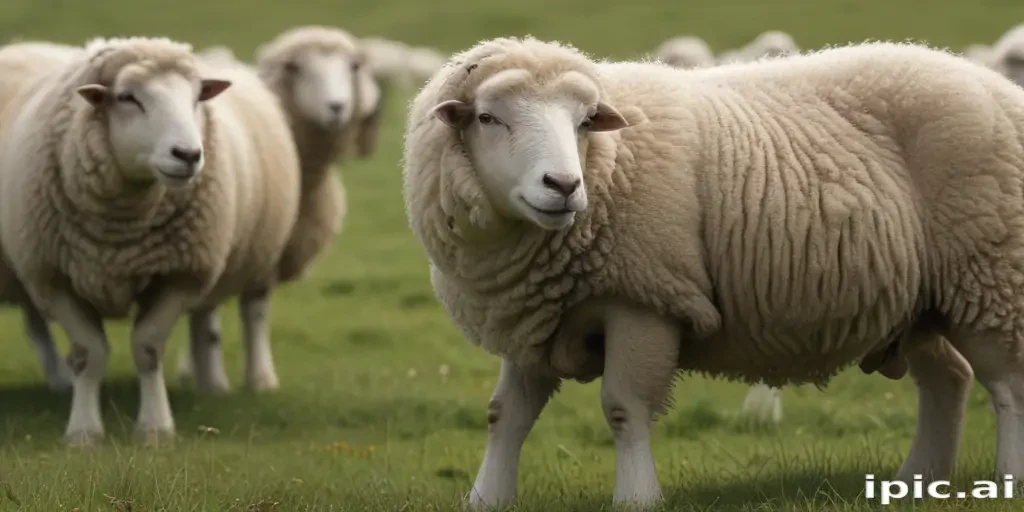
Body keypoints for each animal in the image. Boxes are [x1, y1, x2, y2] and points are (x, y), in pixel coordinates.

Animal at [0, 35, 301, 445]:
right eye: (128, 97)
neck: (119, 237)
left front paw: (156, 428)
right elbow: (87, 354)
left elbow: (148, 349)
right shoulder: (53, 278)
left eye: (197, 97)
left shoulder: (181, 275)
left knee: (248, 313)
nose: (188, 154)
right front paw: (83, 431)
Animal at [175, 25, 381, 393]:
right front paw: (239, 379)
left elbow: (255, 310)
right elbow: (223, 312)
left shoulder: (268, 244)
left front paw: (260, 379)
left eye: (353, 66)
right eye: (295, 67)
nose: (337, 107)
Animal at [402, 35, 1024, 508]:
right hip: (919, 300)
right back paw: (916, 480)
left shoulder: (645, 302)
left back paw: (1009, 479)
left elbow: (624, 409)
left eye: (584, 122)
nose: (563, 185)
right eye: (489, 118)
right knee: (948, 378)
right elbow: (503, 416)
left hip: (991, 272)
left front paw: (637, 497)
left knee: (1007, 384)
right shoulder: (532, 316)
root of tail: (998, 85)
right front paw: (485, 498)